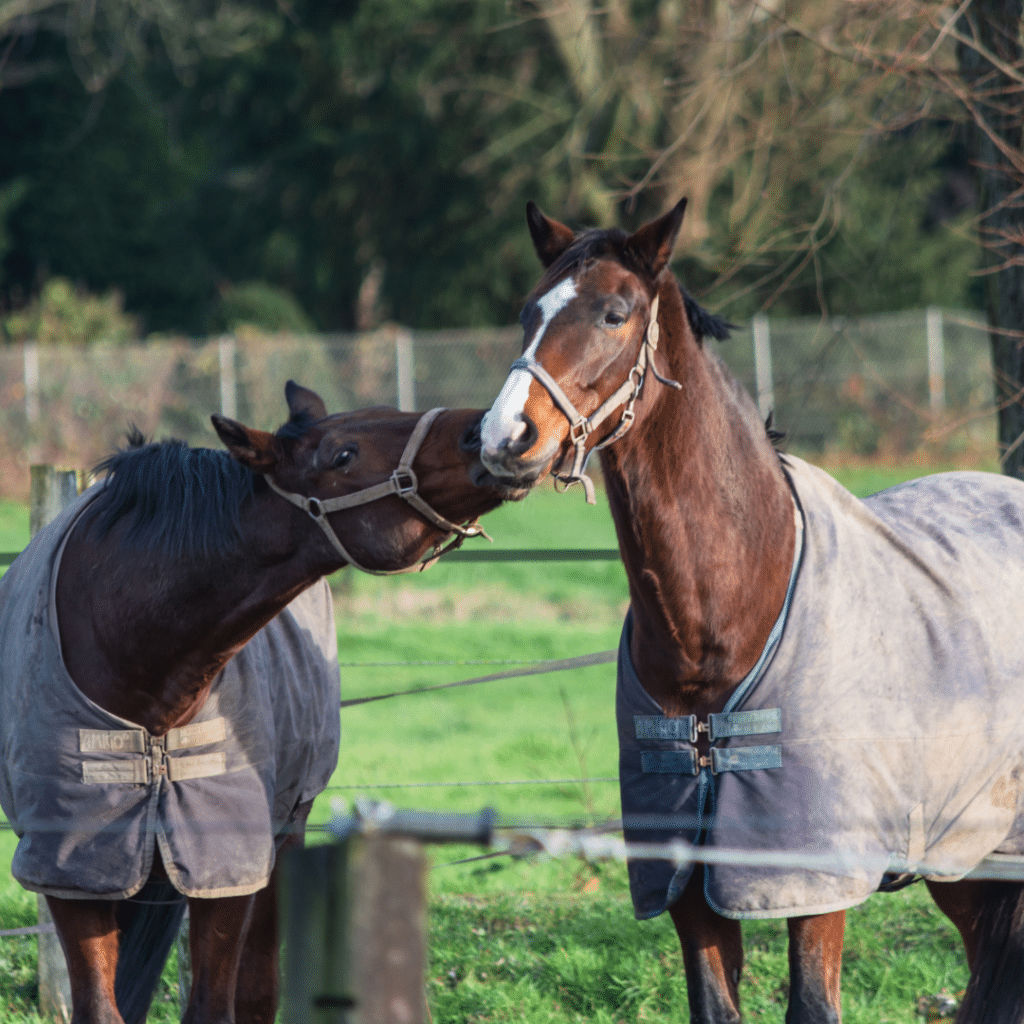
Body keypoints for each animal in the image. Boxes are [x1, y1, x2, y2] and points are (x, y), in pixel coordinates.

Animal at [0, 385, 516, 1024]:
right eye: (344, 454)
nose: (487, 430)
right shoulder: (73, 871)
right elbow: (100, 1006)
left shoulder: (227, 866)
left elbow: (218, 1003)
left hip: (283, 835)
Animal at [475, 195, 1024, 1019]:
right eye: (526, 312)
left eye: (614, 313)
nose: (504, 438)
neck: (724, 618)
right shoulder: (689, 883)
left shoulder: (815, 882)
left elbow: (812, 1003)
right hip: (967, 861)